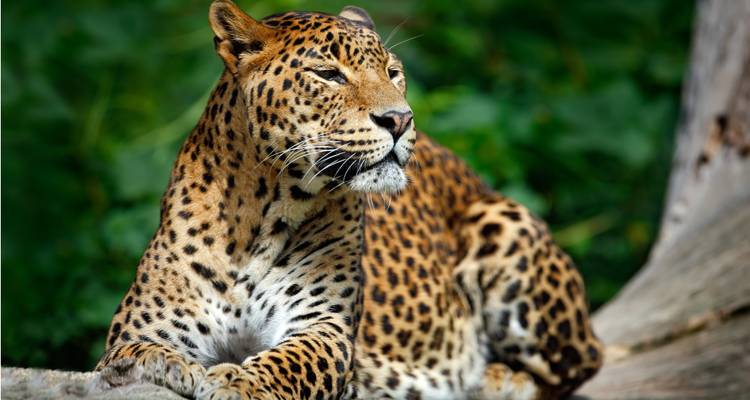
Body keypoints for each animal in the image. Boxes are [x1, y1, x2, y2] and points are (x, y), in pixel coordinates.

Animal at [96, 1, 603, 399]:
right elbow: (133, 353)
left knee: (581, 363)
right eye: (328, 74)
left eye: (393, 73)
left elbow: (288, 362)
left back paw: (496, 379)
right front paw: (166, 366)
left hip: (503, 222)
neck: (259, 215)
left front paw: (238, 381)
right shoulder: (142, 327)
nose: (400, 119)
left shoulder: (324, 327)